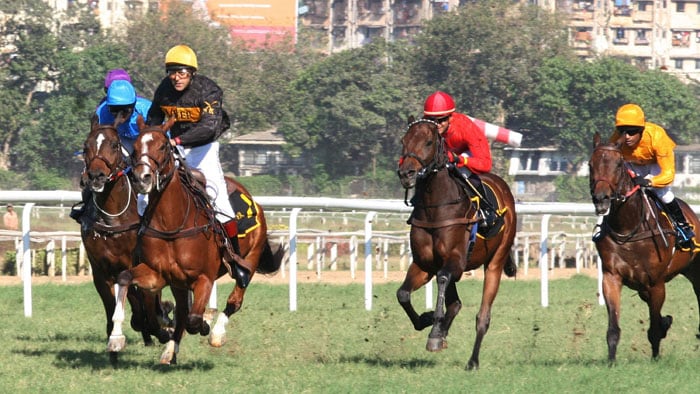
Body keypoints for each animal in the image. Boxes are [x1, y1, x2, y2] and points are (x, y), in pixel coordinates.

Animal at [79, 115, 171, 364]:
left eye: (113, 145)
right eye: (86, 146)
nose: (96, 176)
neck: (113, 218)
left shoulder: (139, 263)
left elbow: (147, 303)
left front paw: (161, 329)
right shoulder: (100, 271)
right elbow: (114, 307)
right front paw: (114, 344)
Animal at [112, 116, 282, 364]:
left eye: (163, 146)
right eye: (134, 148)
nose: (141, 178)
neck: (172, 225)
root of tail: (255, 203)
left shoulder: (204, 278)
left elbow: (194, 319)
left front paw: (205, 323)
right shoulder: (158, 273)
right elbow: (125, 278)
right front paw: (116, 337)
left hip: (251, 257)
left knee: (235, 298)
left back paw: (217, 333)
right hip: (179, 283)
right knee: (183, 311)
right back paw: (170, 350)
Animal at [396, 116, 516, 370]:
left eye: (429, 142)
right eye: (404, 140)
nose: (406, 173)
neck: (435, 208)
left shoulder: (456, 261)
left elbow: (442, 280)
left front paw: (435, 326)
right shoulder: (424, 264)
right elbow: (403, 294)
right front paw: (428, 321)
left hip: (496, 261)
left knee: (483, 316)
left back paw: (472, 360)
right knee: (455, 302)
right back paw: (440, 332)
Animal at [592, 134, 700, 362]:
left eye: (618, 164)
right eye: (590, 164)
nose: (601, 198)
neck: (629, 228)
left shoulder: (656, 283)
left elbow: (654, 329)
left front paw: (656, 357)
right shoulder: (612, 277)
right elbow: (613, 327)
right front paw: (611, 361)